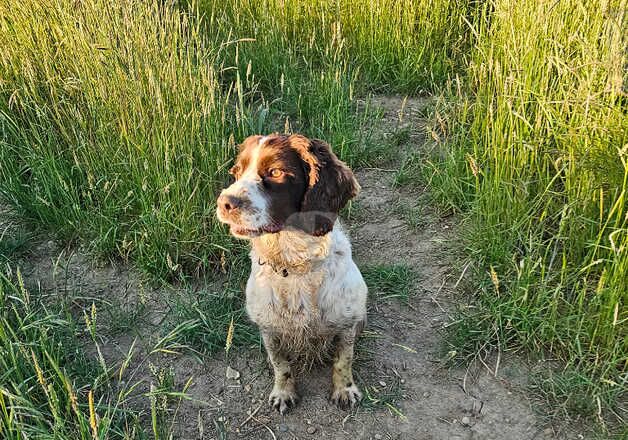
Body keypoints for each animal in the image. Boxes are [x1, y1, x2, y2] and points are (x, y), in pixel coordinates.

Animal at [217, 133, 368, 412]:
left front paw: (344, 389)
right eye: (237, 172)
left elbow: (343, 361)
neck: (293, 264)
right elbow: (281, 365)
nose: (224, 203)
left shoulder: (345, 324)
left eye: (275, 172)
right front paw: (284, 392)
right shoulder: (270, 329)